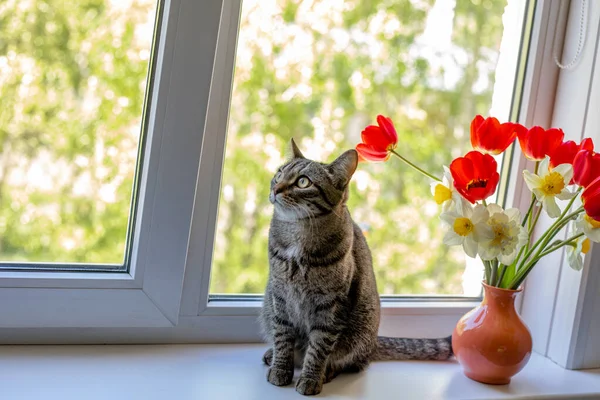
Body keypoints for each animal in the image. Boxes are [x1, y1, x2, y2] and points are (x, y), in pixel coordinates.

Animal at [260, 139, 452, 396]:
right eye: (279, 173)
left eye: (303, 182)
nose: (276, 188)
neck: (297, 236)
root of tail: (374, 342)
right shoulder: (279, 296)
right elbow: (282, 336)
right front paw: (281, 368)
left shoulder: (331, 305)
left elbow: (319, 347)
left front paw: (311, 378)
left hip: (358, 332)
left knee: (351, 362)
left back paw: (327, 371)